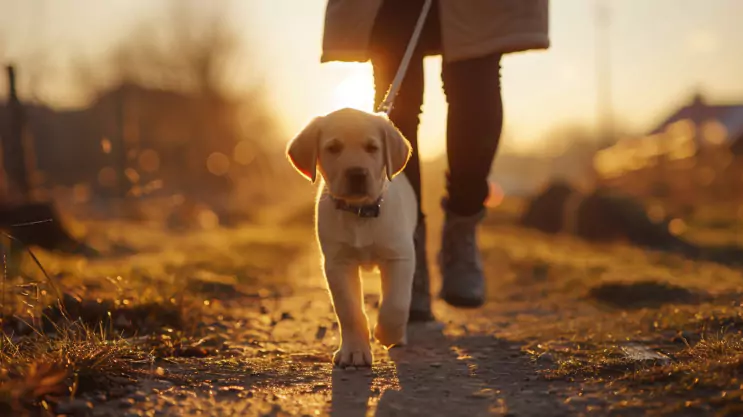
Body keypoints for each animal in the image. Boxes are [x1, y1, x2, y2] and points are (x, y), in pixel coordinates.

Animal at [286, 107, 416, 368]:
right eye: (333, 148)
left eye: (372, 148)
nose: (357, 174)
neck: (360, 212)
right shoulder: (337, 262)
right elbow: (349, 310)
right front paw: (354, 352)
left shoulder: (400, 256)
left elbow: (396, 303)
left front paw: (387, 334)